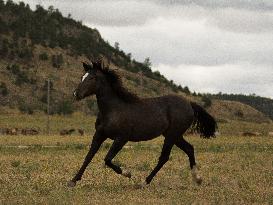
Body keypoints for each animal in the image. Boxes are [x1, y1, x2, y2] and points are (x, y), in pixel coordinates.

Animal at [68, 59, 217, 187]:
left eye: (92, 78)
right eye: (82, 77)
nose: (76, 94)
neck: (113, 110)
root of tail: (189, 104)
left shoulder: (121, 138)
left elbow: (107, 159)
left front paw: (128, 173)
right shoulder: (99, 134)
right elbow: (88, 156)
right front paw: (73, 181)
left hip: (172, 135)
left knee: (164, 157)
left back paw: (144, 182)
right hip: (174, 135)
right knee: (189, 149)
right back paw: (197, 179)